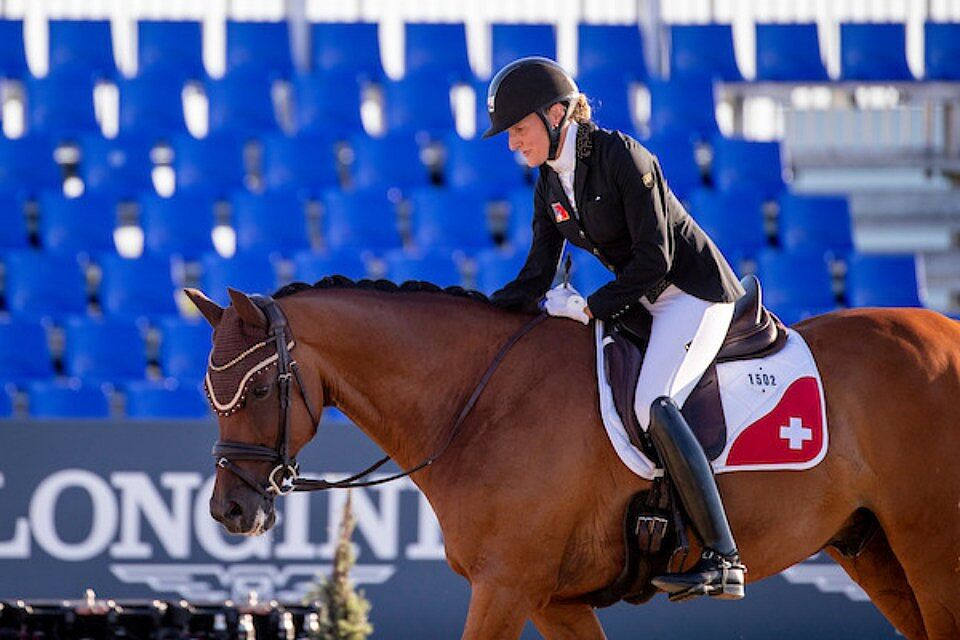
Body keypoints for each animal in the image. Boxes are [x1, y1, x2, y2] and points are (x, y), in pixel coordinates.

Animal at [186, 282, 960, 640]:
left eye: (259, 389)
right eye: (209, 392)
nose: (230, 510)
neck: (478, 400)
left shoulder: (505, 587)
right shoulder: (552, 600)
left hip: (932, 549)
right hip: (875, 549)